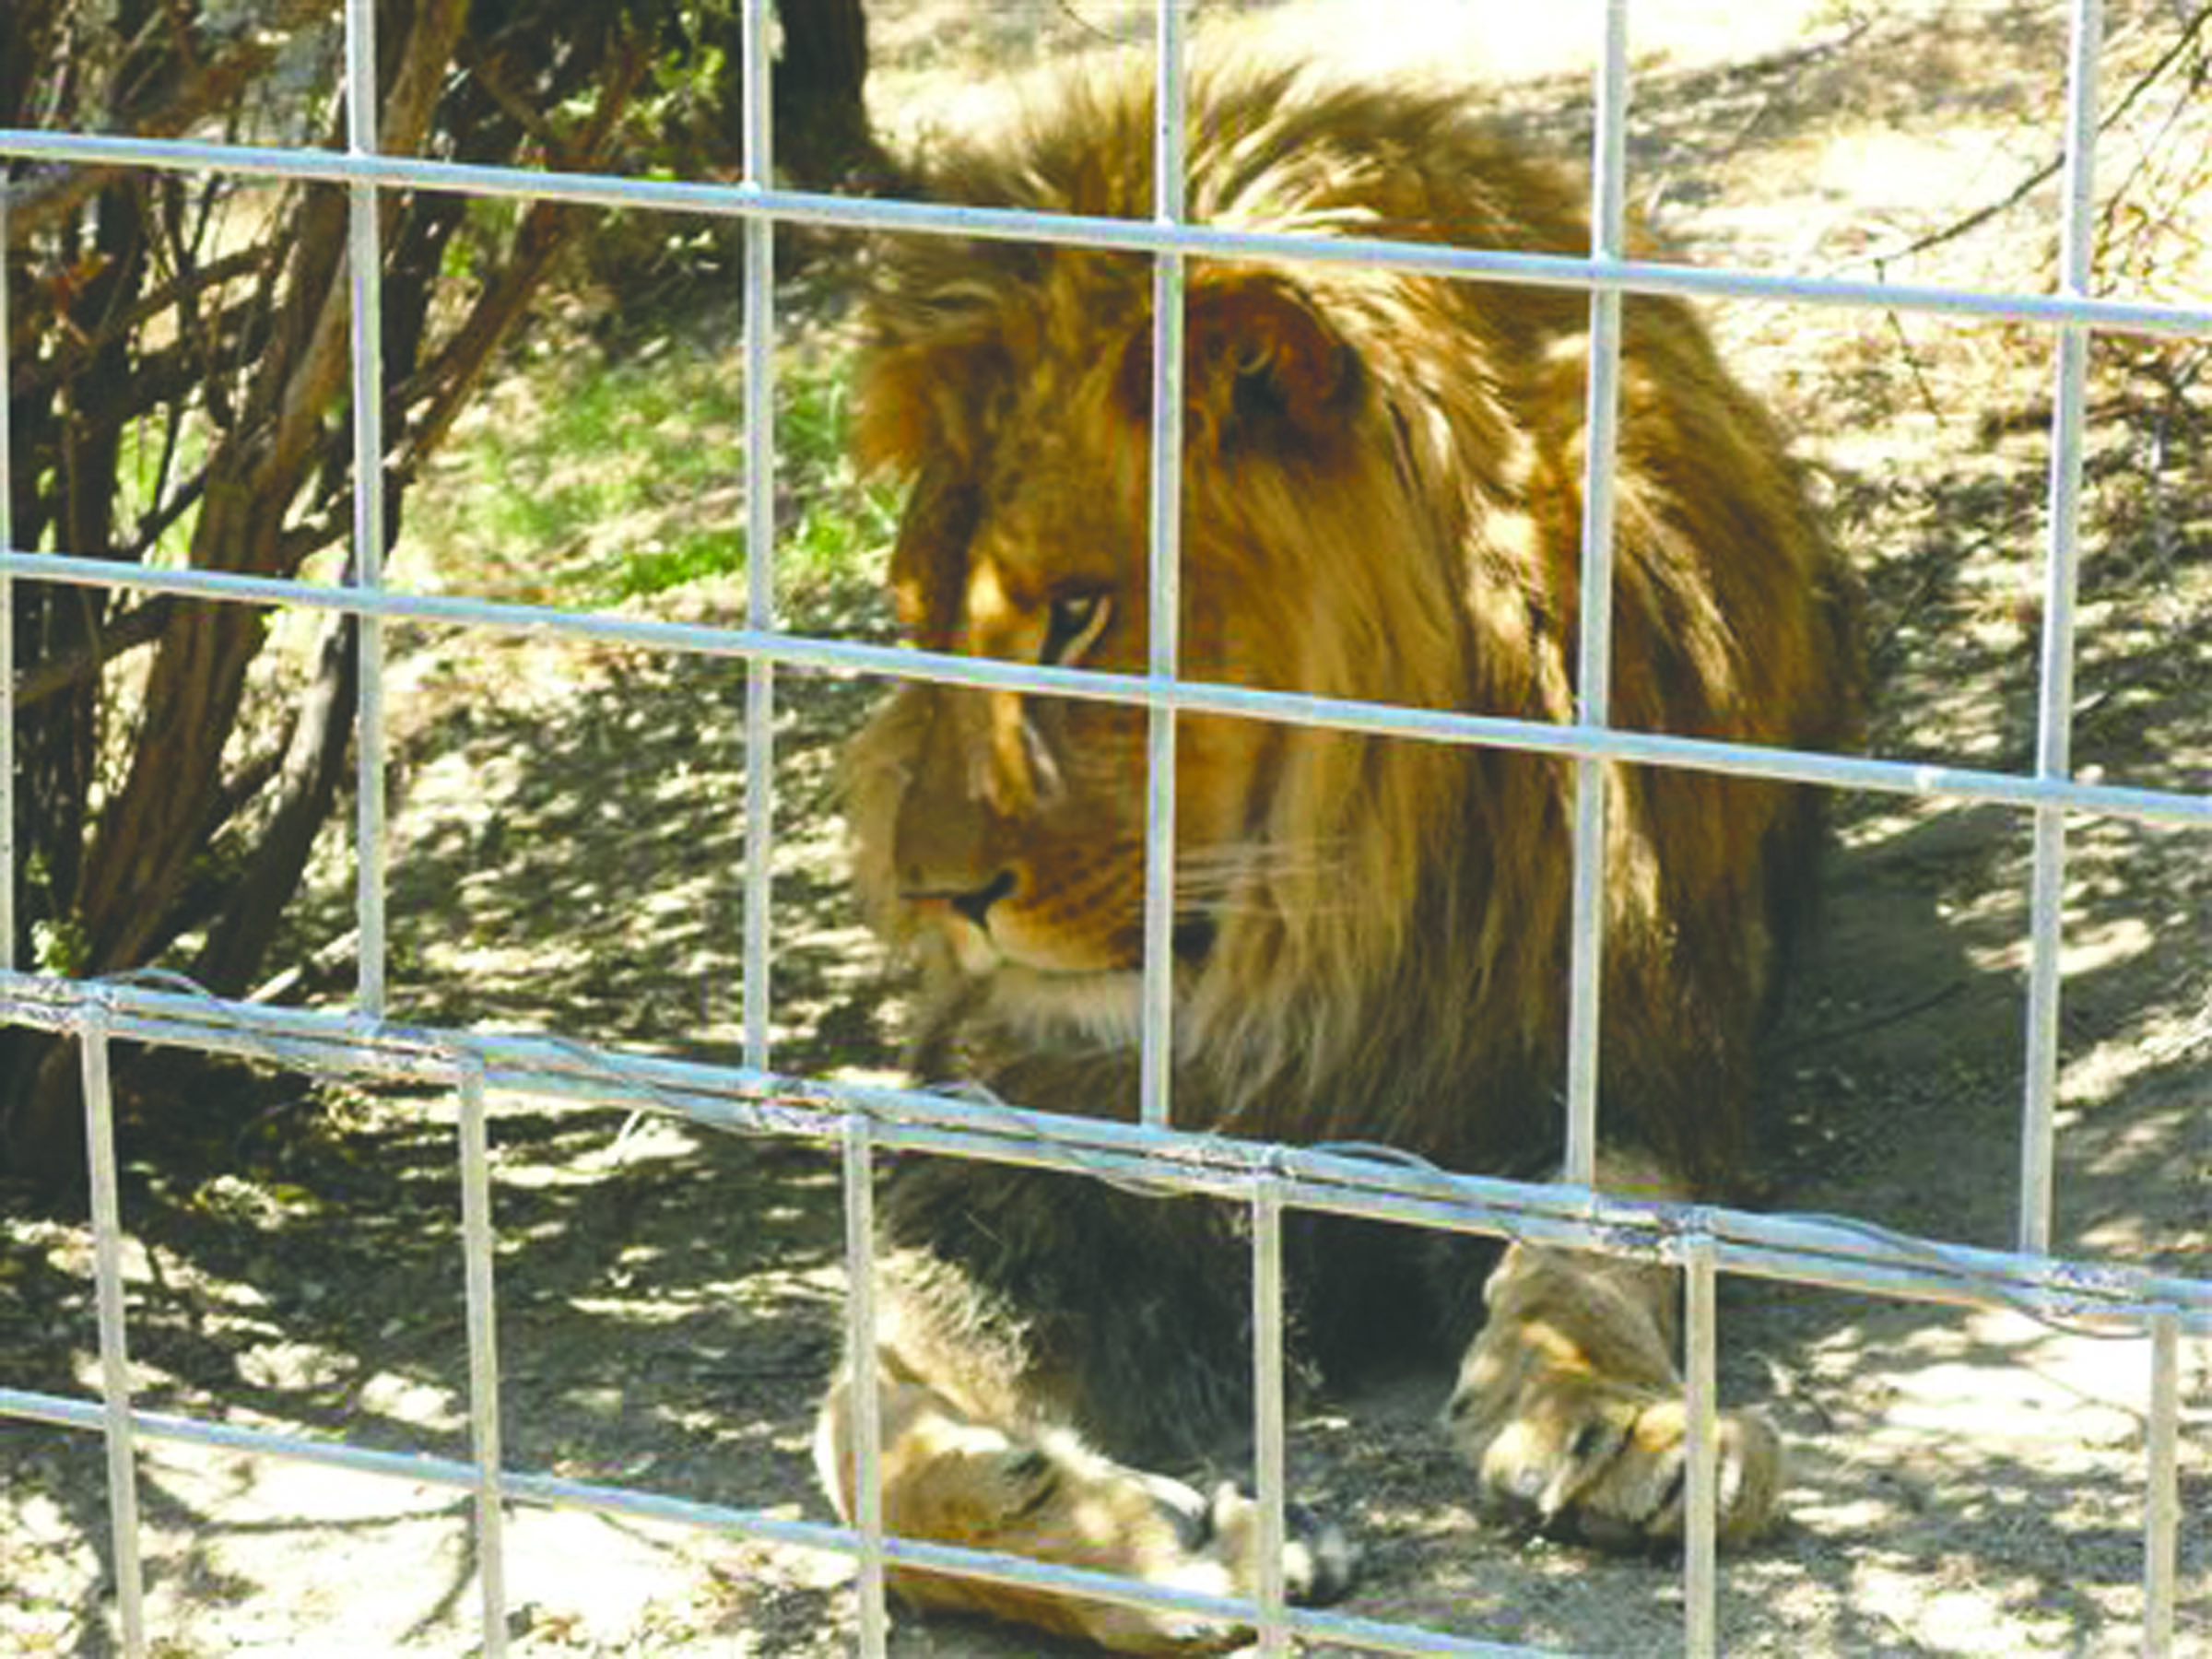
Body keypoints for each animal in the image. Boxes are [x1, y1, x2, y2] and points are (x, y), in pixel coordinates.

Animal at [814, 58, 1866, 1654]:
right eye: (916, 614)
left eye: (1078, 611)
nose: (932, 897)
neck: (1312, 941)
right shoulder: (1032, 1151)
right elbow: (857, 1424)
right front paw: (1131, 1539)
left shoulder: (1612, 1050)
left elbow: (1594, 1251)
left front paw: (1617, 1420)